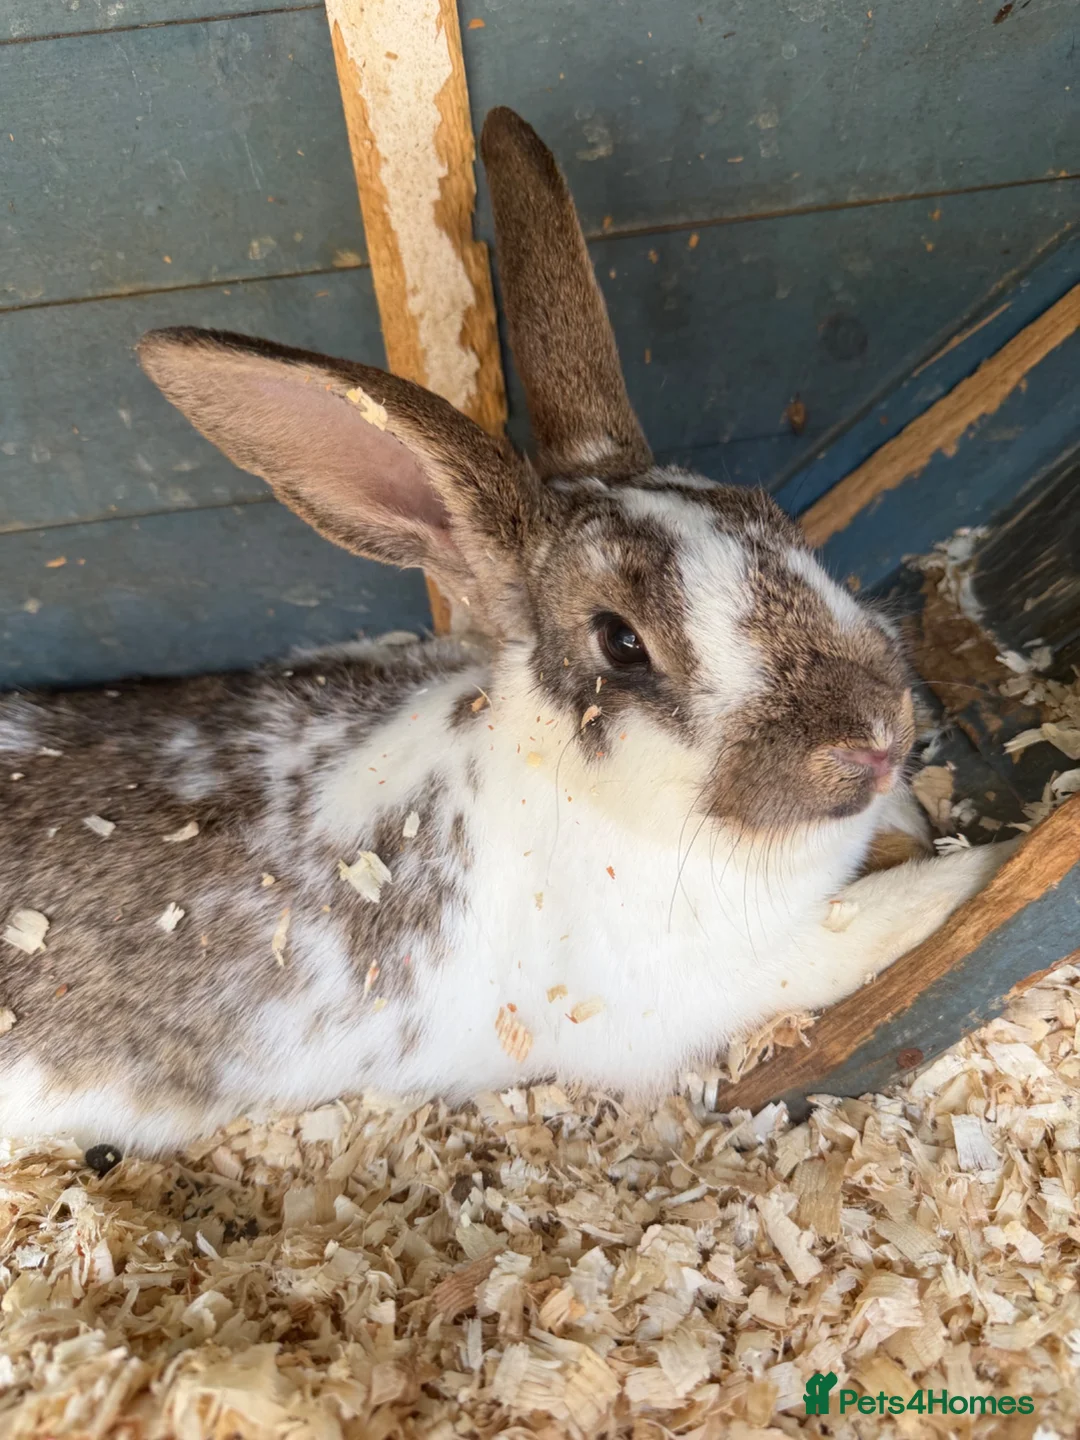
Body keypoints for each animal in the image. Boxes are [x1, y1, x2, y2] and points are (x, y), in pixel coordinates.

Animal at [0, 108, 1014, 1155]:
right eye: (619, 641)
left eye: (776, 519)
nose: (876, 738)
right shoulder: (731, 974)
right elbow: (874, 925)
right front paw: (987, 870)